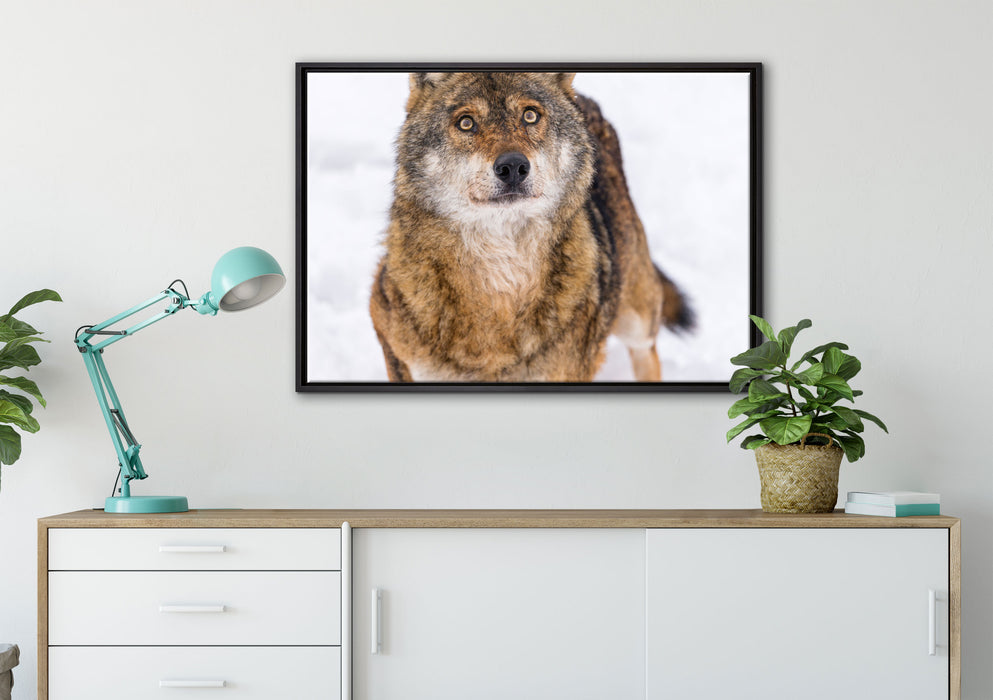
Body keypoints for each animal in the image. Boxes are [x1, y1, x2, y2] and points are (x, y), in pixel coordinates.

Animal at [369, 72, 693, 382]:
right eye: (466, 123)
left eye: (530, 116)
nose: (512, 166)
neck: (501, 277)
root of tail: (582, 100)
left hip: (637, 318)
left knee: (647, 355)